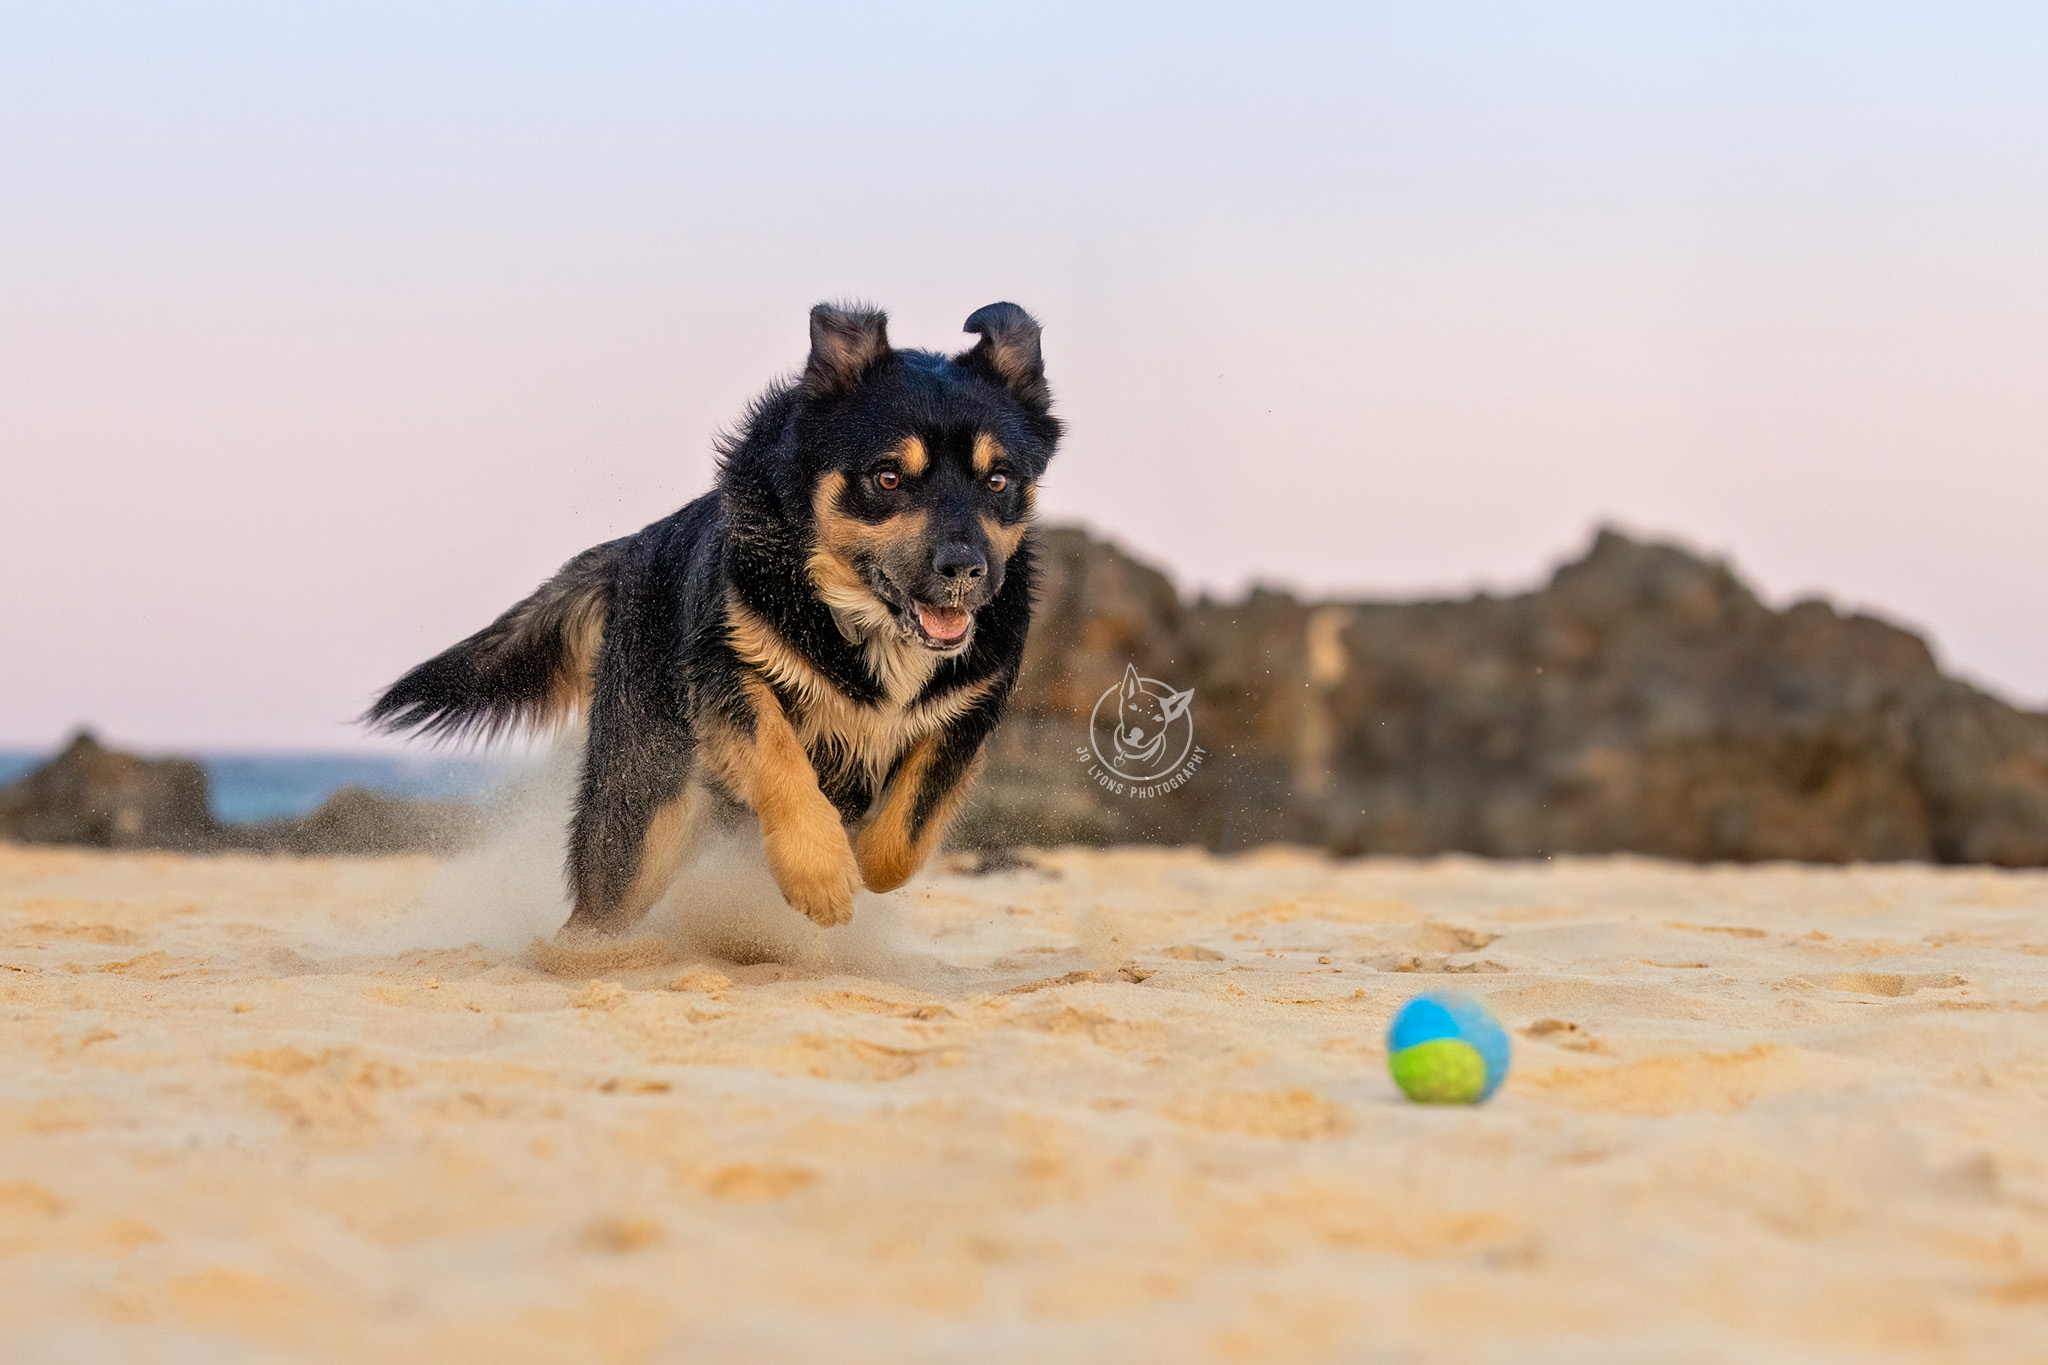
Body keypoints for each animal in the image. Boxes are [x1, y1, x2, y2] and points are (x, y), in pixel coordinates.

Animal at [368, 300, 1064, 941]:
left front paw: (859, 856)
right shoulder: (727, 666)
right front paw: (819, 873)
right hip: (643, 808)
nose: (966, 570)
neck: (863, 621)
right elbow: (778, 758)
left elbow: (904, 836)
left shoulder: (970, 710)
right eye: (889, 477)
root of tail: (635, 547)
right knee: (601, 901)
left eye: (998, 480)